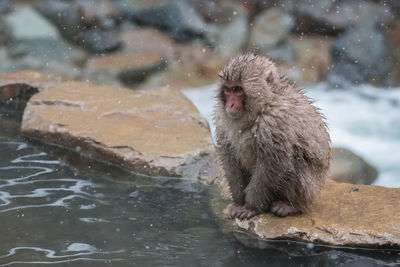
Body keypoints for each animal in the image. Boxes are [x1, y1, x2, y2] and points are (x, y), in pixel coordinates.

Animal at [214, 53, 330, 221]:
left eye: (238, 89)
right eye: (228, 90)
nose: (230, 105)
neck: (264, 104)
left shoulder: (273, 123)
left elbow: (273, 164)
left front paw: (251, 206)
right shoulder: (221, 119)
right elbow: (230, 157)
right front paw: (238, 202)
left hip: (310, 189)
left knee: (296, 160)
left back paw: (290, 206)